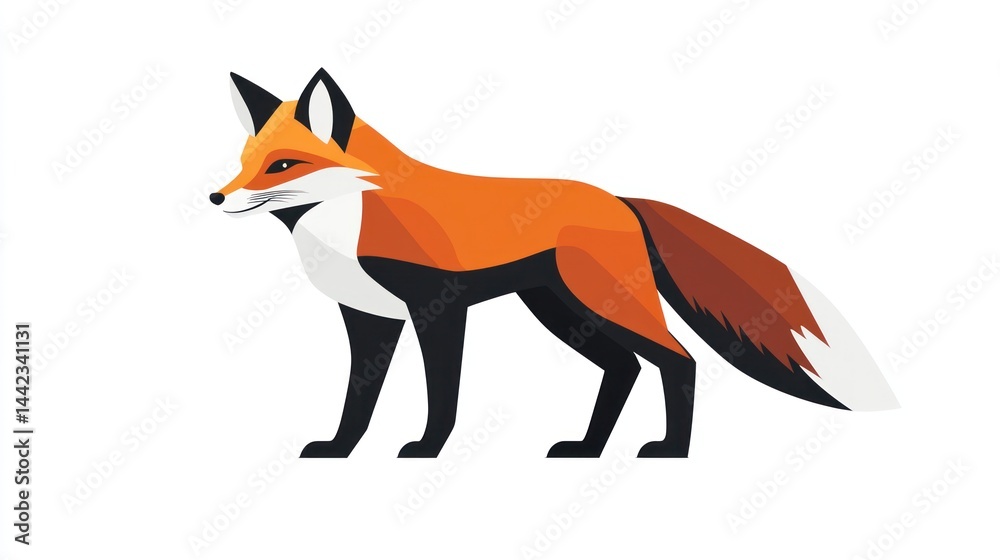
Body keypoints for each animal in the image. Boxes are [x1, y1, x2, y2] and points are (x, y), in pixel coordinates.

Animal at [212, 68, 898, 459]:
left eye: (282, 166)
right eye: (245, 160)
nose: (216, 198)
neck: (352, 217)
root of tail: (621, 199)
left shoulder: (438, 307)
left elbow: (442, 393)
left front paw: (429, 448)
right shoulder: (369, 318)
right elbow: (358, 398)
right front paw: (339, 449)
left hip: (601, 303)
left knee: (678, 360)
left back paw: (671, 451)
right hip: (560, 310)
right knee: (625, 368)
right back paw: (587, 448)